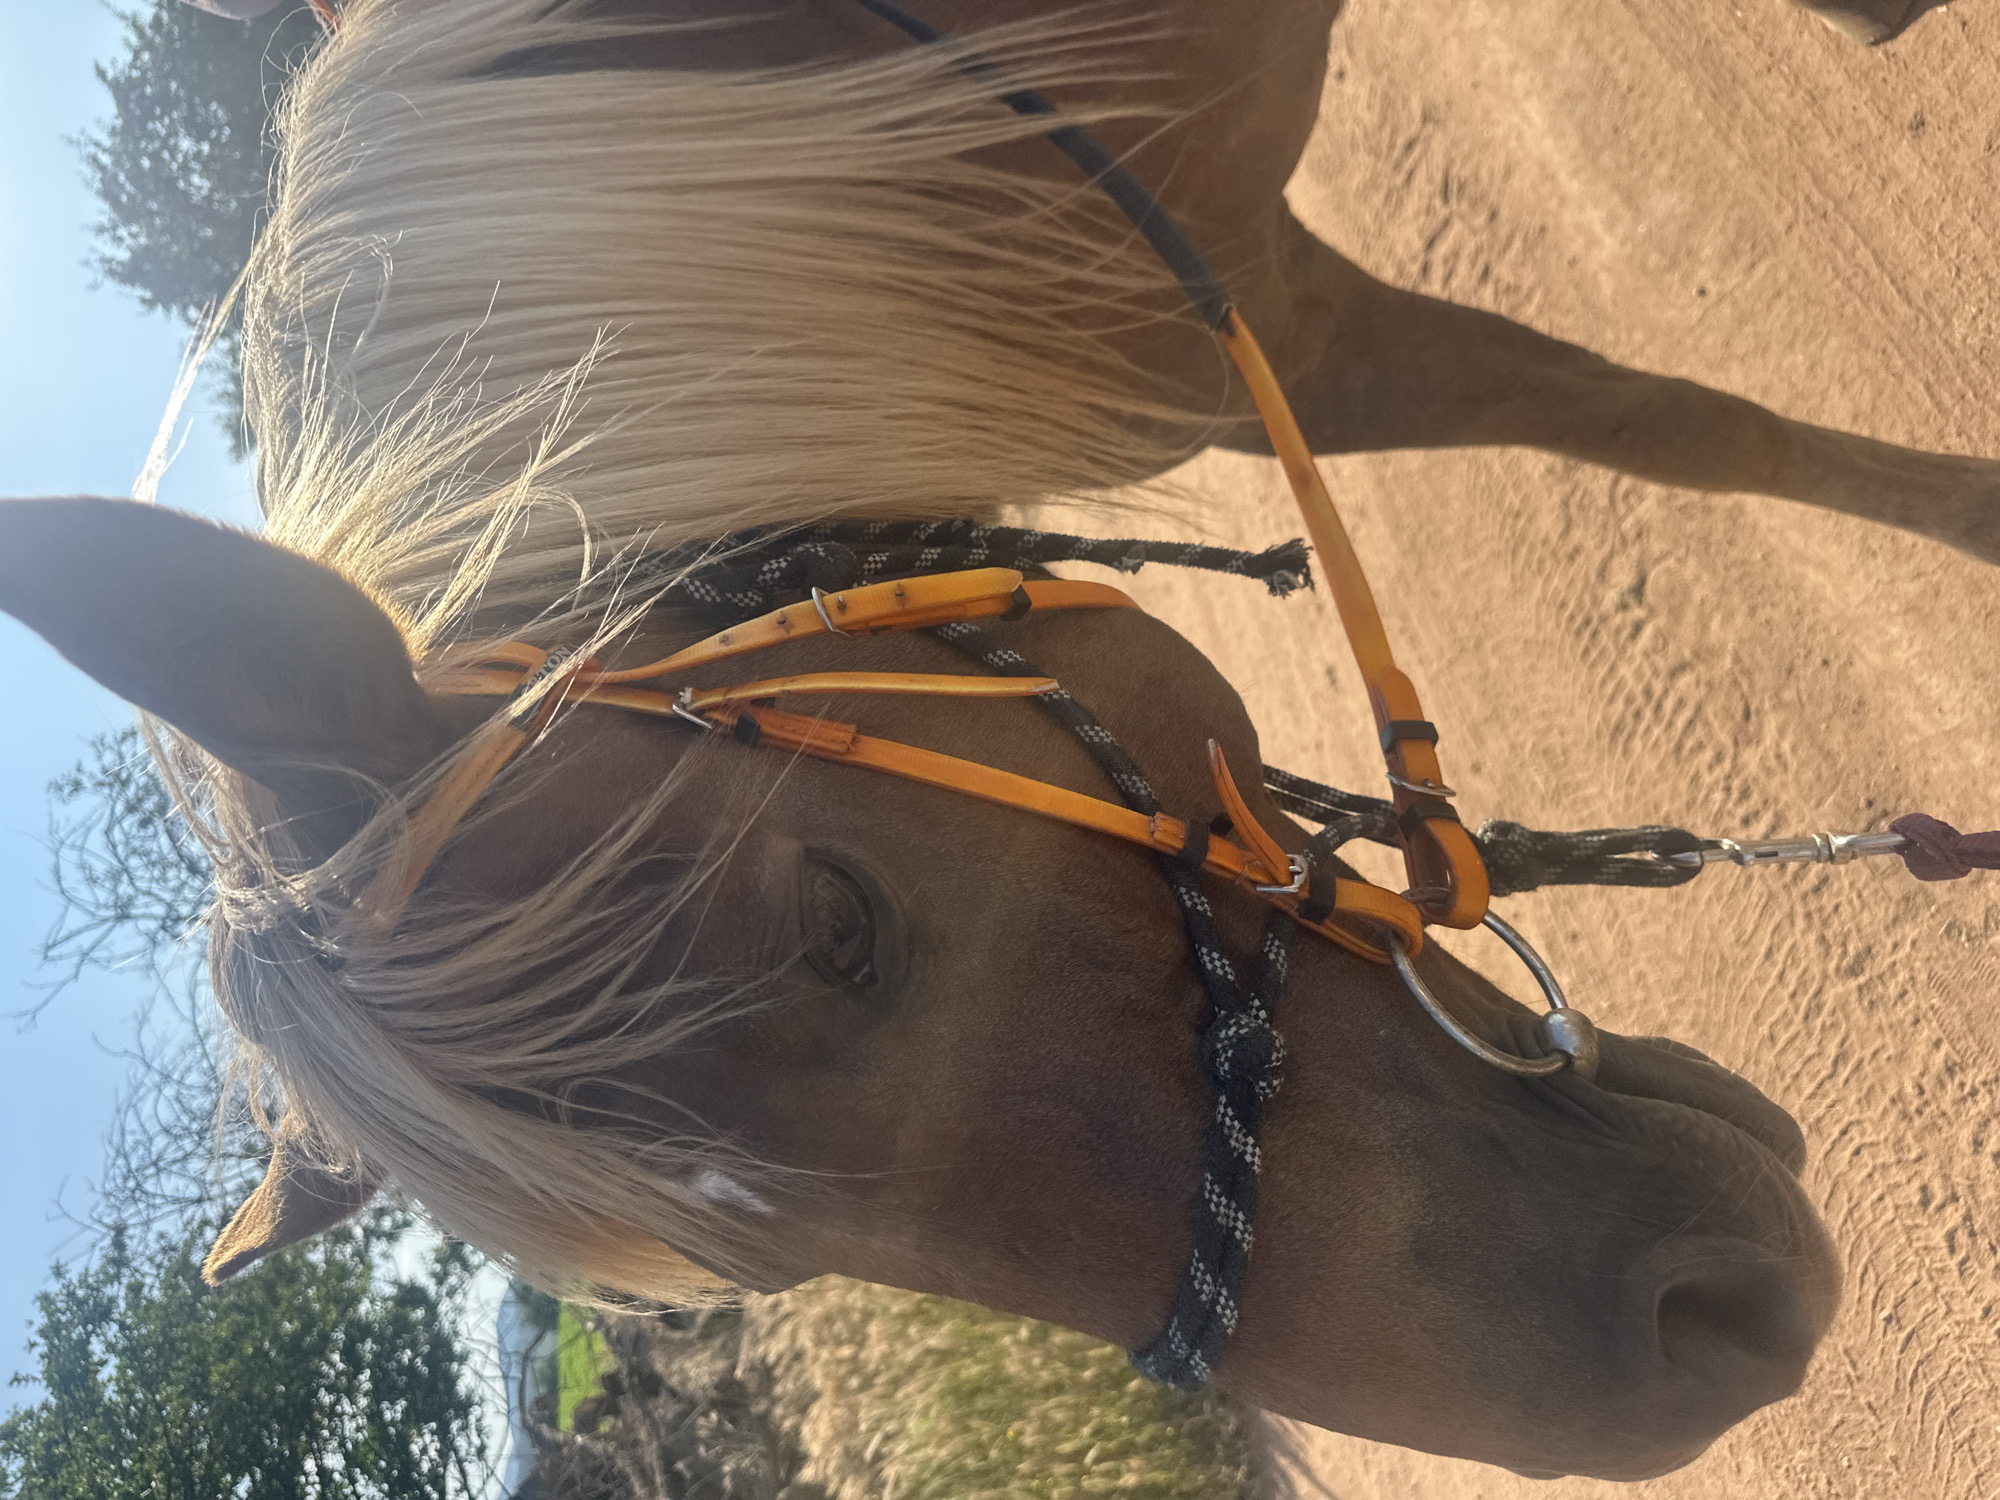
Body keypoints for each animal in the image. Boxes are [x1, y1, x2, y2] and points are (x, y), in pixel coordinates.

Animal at [36, 0, 2000, 1477]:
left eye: (840, 919)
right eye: (753, 1257)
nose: (1701, 1344)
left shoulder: (1240, 286)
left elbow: (1673, 424)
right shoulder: (1234, 324)